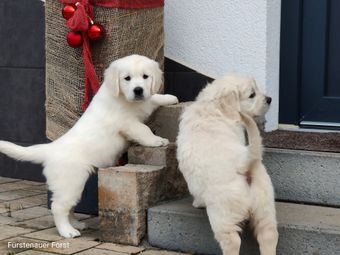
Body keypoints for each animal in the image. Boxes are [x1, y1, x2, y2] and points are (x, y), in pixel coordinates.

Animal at [0, 54, 179, 238]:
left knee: (69, 207)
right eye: (127, 78)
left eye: (145, 76)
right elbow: (143, 129)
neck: (124, 98)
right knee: (58, 207)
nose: (138, 90)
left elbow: (152, 98)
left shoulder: (143, 104)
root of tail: (51, 149)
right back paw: (67, 231)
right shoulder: (127, 122)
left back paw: (76, 224)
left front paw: (170, 97)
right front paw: (156, 140)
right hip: (70, 182)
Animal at [177, 74, 278, 254]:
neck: (214, 110)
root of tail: (244, 163)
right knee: (268, 235)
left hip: (222, 213)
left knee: (232, 241)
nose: (269, 99)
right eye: (252, 94)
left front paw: (197, 203)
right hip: (265, 205)